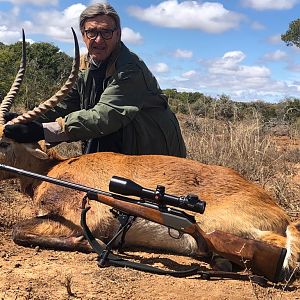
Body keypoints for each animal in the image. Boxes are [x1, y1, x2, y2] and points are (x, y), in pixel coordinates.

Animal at [0, 29, 298, 280]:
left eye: (4, 142)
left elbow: (18, 231)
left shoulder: (80, 219)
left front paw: (88, 244)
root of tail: (278, 211)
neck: (51, 171)